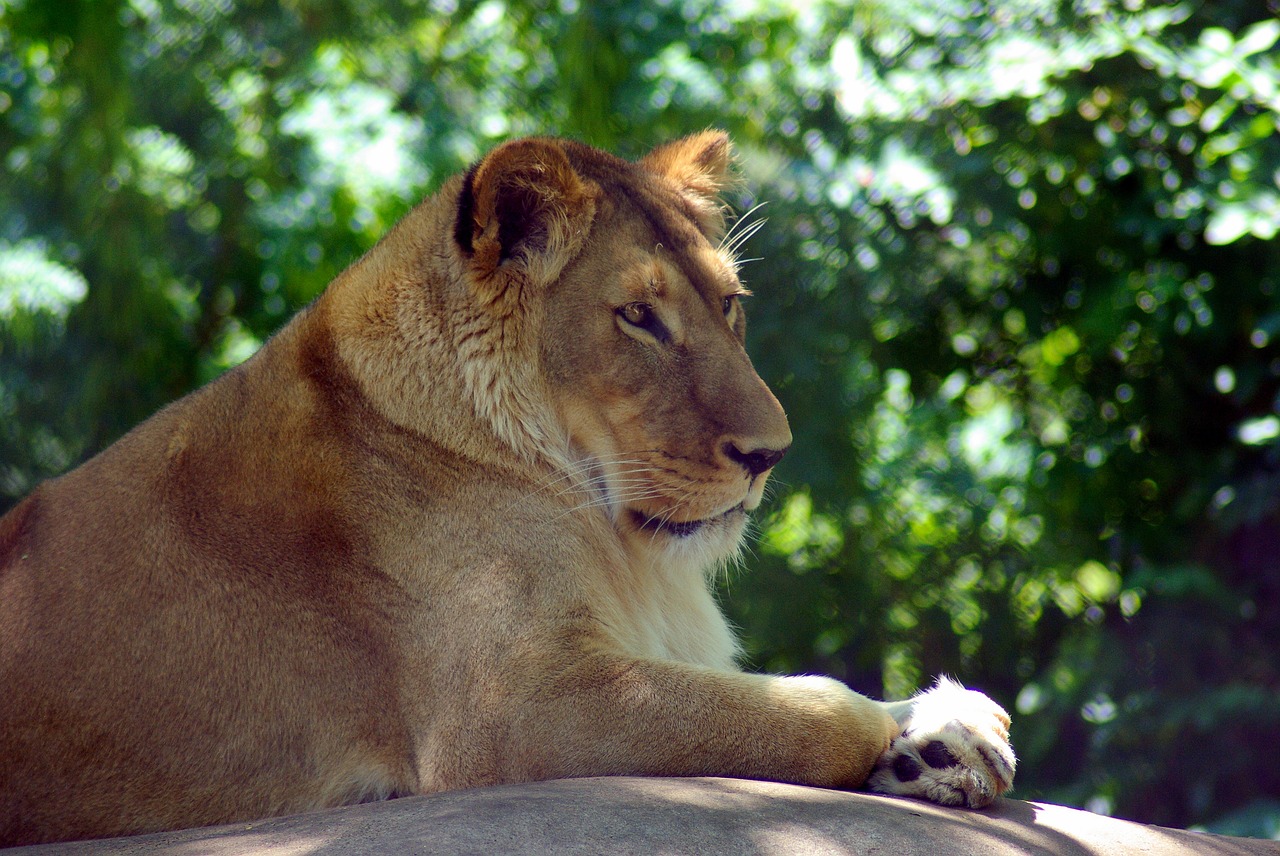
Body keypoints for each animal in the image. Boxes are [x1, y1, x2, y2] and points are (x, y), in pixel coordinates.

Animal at [2, 130, 1008, 844]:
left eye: (730, 305)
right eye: (638, 317)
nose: (772, 452)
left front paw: (941, 737)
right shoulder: (511, 710)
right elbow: (803, 709)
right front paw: (915, 740)